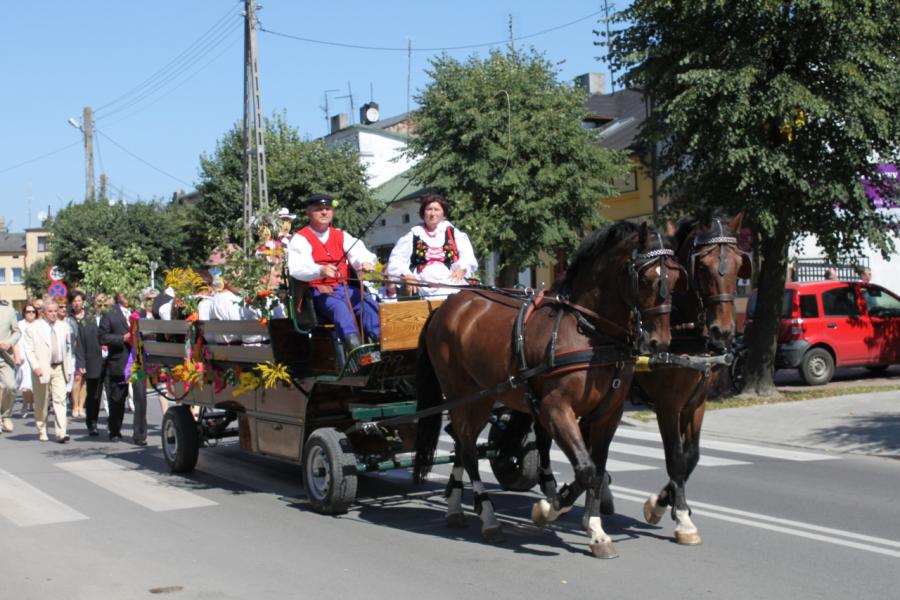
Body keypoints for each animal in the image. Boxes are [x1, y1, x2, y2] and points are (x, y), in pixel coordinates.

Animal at [414, 221, 684, 556]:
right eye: (645, 279)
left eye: (676, 277)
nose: (660, 342)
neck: (589, 332)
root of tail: (447, 306)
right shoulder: (556, 409)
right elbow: (585, 469)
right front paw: (548, 509)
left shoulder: (609, 414)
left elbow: (597, 470)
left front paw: (596, 530)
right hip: (460, 395)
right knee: (468, 449)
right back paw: (488, 518)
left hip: (484, 397)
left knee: (463, 446)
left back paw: (455, 508)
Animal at [632, 211, 752, 544]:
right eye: (703, 266)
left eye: (738, 264)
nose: (723, 331)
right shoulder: (668, 405)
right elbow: (674, 455)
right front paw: (681, 517)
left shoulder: (696, 403)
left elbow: (692, 455)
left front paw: (664, 502)